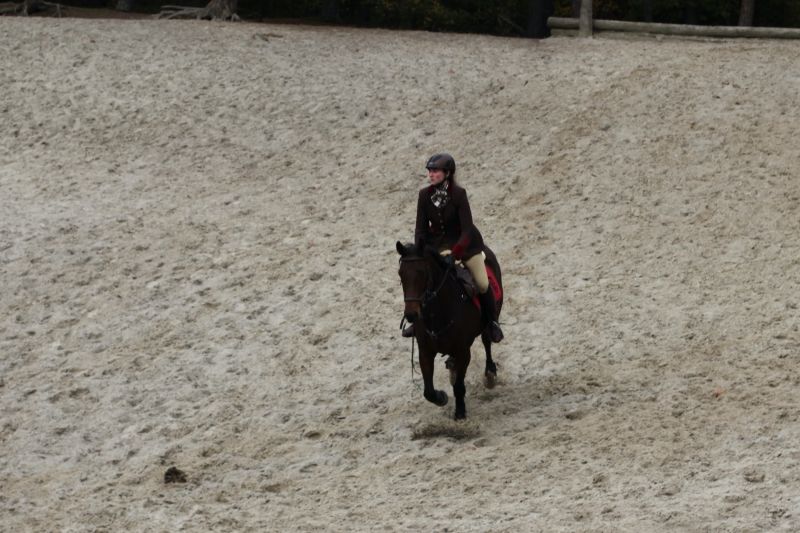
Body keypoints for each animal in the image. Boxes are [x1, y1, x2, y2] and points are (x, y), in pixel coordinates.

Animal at [396, 241, 503, 419]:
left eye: (422, 272)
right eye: (401, 274)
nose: (411, 315)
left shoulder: (463, 352)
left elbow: (459, 385)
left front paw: (460, 412)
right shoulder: (425, 352)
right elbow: (428, 391)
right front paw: (441, 397)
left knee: (487, 340)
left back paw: (490, 373)